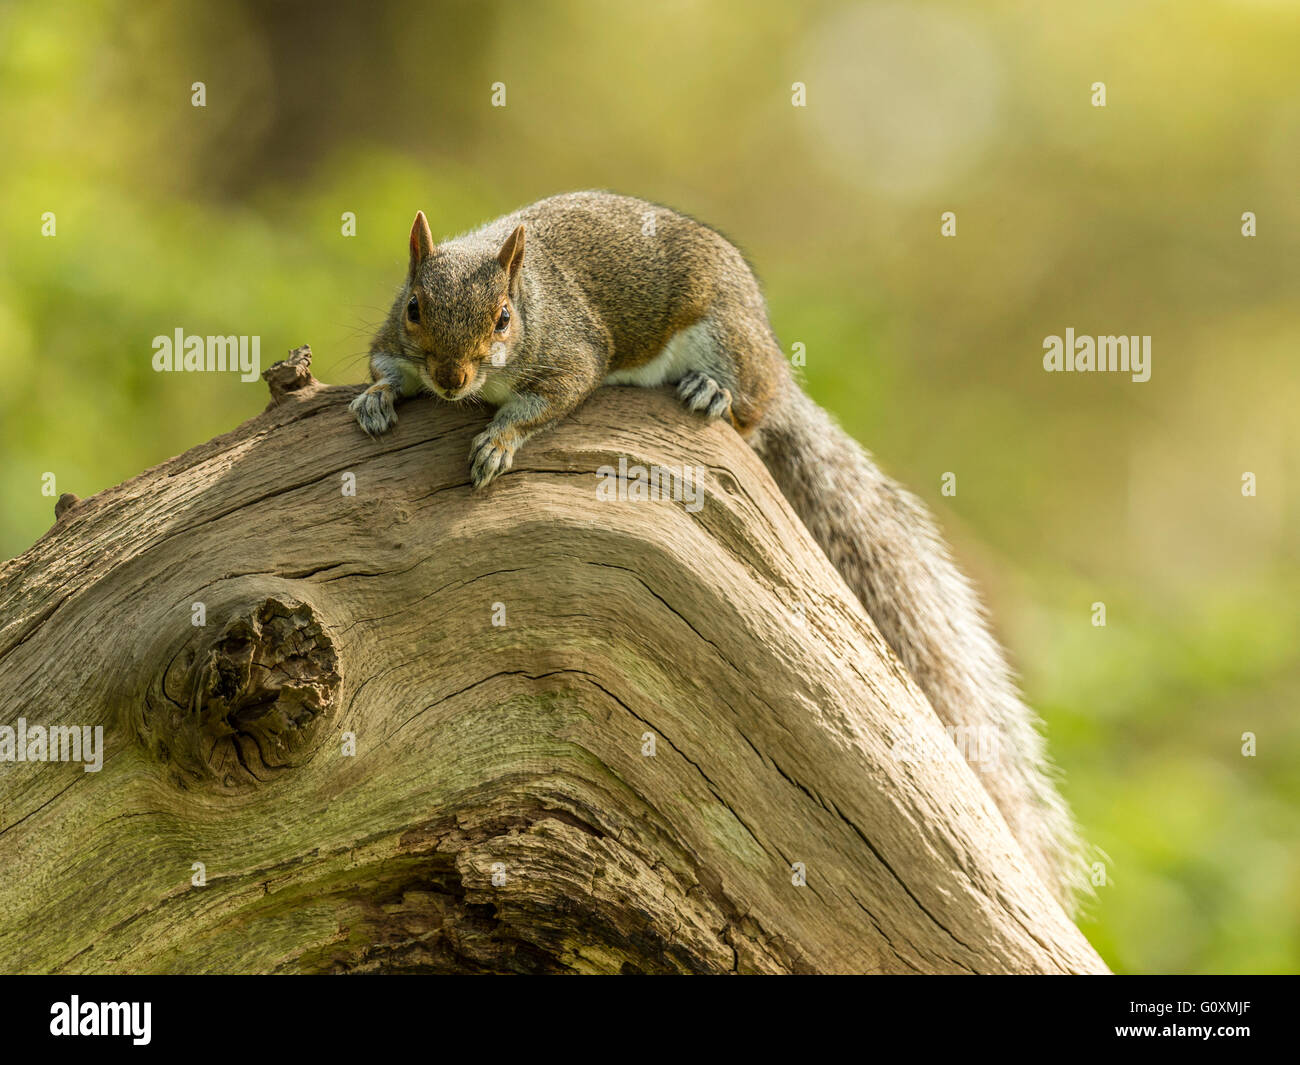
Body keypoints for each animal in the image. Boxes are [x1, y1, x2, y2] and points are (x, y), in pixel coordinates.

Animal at [353, 189, 1086, 910]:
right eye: (414, 306)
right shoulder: (393, 338)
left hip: (724, 334)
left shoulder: (572, 353)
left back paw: (716, 392)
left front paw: (499, 440)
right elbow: (383, 365)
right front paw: (376, 399)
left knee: (751, 411)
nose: (452, 379)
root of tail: (770, 353)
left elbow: (547, 401)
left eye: (504, 319)